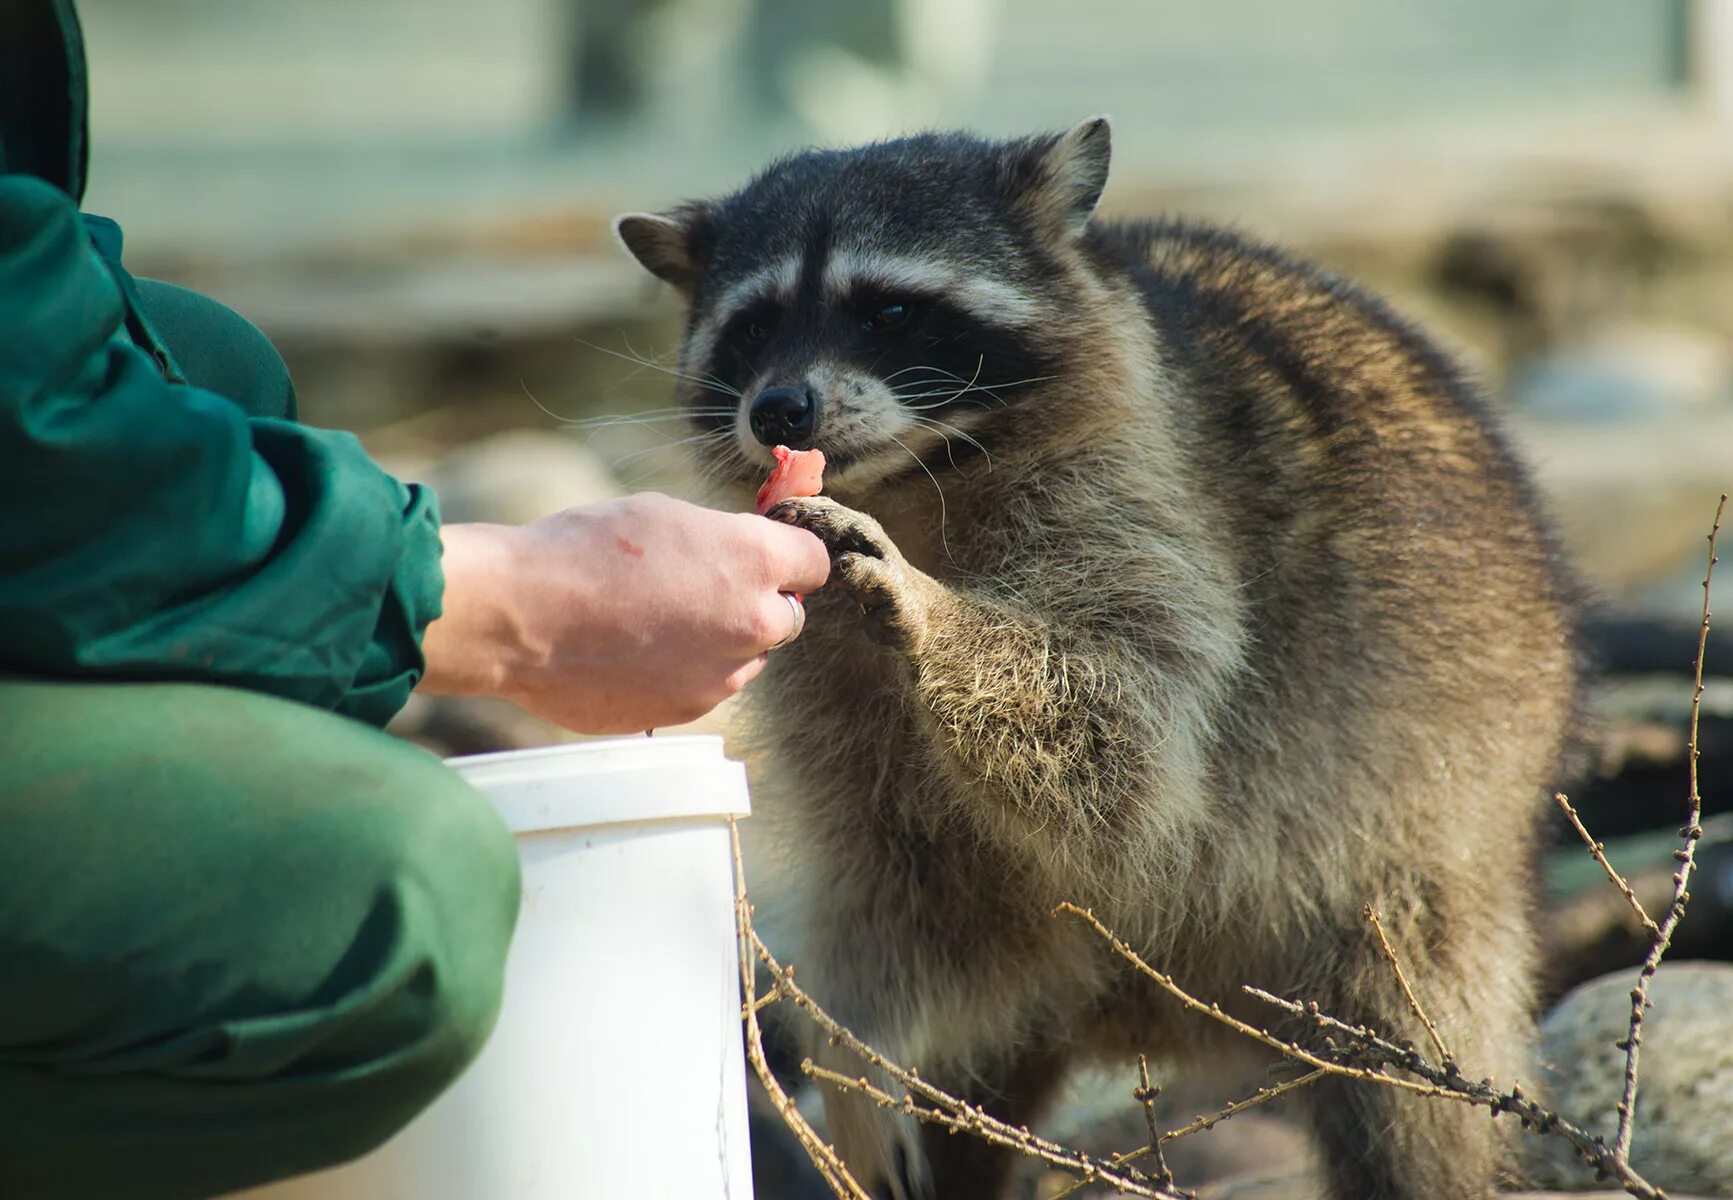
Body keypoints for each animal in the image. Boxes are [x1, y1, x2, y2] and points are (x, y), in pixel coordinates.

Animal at [616, 119, 1580, 1200]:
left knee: (1415, 1083)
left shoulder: (1152, 510)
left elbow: (1116, 738)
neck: (918, 475)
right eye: (751, 327)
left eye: (889, 310)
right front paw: (860, 1041)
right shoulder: (822, 674)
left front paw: (931, 611)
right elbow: (900, 876)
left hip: (1432, 854)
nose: (779, 409)